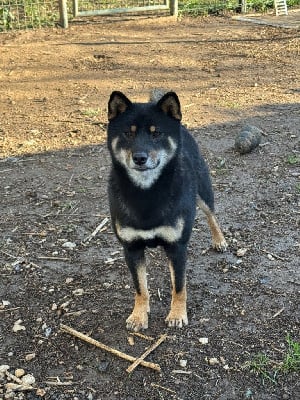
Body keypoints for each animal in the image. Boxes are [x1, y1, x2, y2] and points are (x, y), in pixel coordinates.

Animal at [106, 90, 226, 332]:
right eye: (127, 133)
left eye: (157, 134)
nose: (139, 158)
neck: (146, 193)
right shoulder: (131, 248)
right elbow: (140, 287)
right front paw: (139, 315)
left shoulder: (177, 247)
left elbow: (179, 286)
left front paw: (177, 314)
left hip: (203, 192)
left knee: (211, 215)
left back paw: (219, 239)